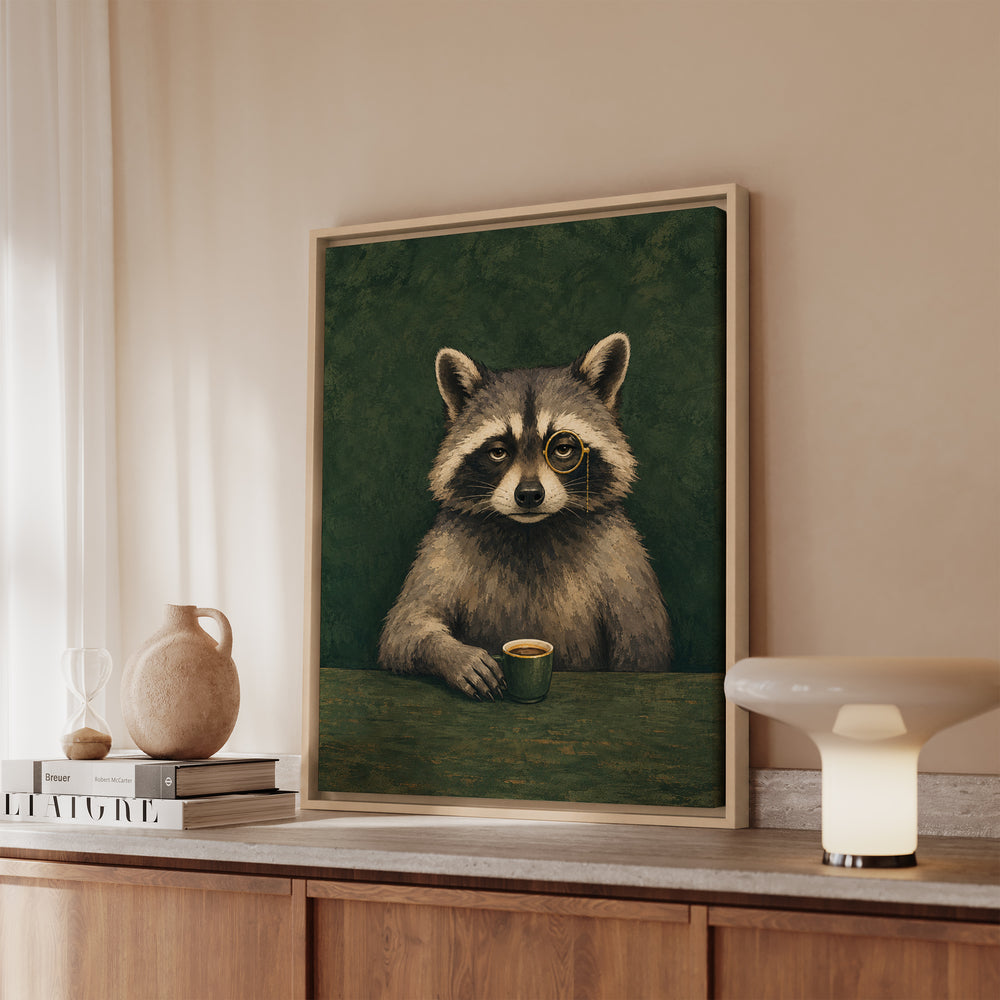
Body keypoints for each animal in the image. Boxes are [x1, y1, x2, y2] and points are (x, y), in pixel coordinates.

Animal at [377, 332, 673, 699]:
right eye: (498, 452)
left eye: (563, 448)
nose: (530, 495)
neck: (531, 530)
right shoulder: (442, 547)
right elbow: (406, 627)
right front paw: (455, 654)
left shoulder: (623, 556)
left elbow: (643, 646)